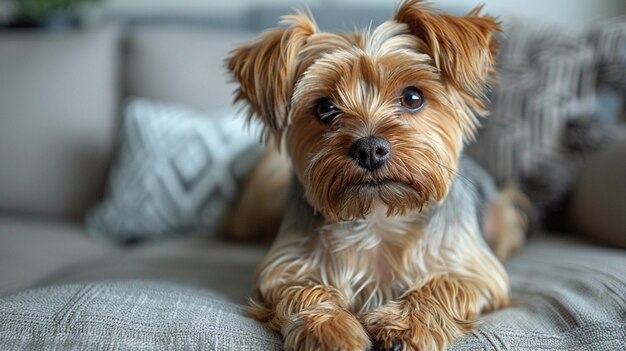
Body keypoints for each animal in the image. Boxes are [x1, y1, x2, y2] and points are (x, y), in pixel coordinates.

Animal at [227, 1, 524, 350]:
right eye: (324, 108)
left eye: (412, 97)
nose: (369, 149)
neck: (378, 214)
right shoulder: (284, 268)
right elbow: (304, 290)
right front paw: (331, 331)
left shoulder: (476, 270)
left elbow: (442, 284)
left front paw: (406, 325)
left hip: (503, 215)